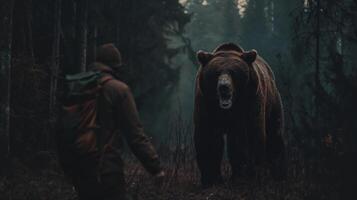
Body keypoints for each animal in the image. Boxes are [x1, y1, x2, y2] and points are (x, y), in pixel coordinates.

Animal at [193, 42, 286, 186]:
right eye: (216, 73)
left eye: (233, 72)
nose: (223, 87)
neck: (227, 109)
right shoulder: (205, 103)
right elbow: (207, 136)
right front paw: (210, 179)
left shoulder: (249, 104)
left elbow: (246, 137)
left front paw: (246, 176)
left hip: (272, 102)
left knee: (274, 134)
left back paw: (278, 175)